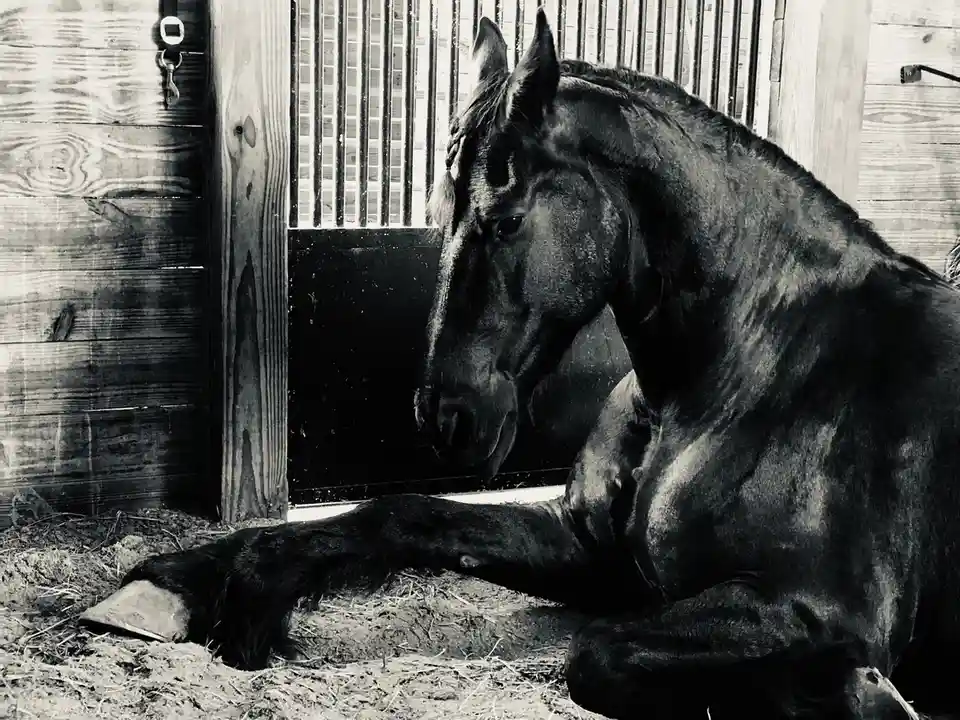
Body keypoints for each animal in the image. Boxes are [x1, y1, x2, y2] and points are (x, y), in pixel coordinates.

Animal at [83, 11, 960, 719]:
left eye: (504, 219)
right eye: (439, 212)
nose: (447, 415)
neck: (751, 374)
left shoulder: (814, 609)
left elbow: (597, 656)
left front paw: (857, 694)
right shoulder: (596, 555)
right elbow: (402, 515)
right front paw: (195, 582)